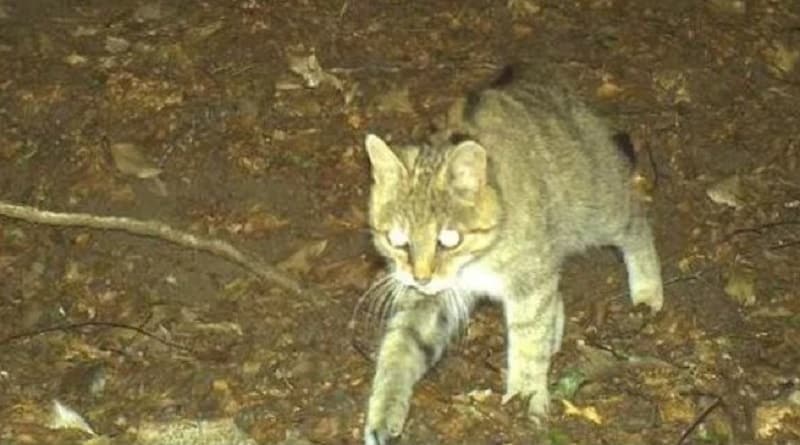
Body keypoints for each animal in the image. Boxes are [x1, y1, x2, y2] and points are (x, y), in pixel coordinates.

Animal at [362, 67, 664, 444]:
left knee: (637, 221)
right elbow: (400, 347)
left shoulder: (528, 284)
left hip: (598, 209)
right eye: (398, 241)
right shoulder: (429, 299)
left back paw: (648, 288)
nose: (422, 277)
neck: (476, 259)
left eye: (448, 241)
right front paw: (384, 409)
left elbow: (527, 341)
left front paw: (525, 399)